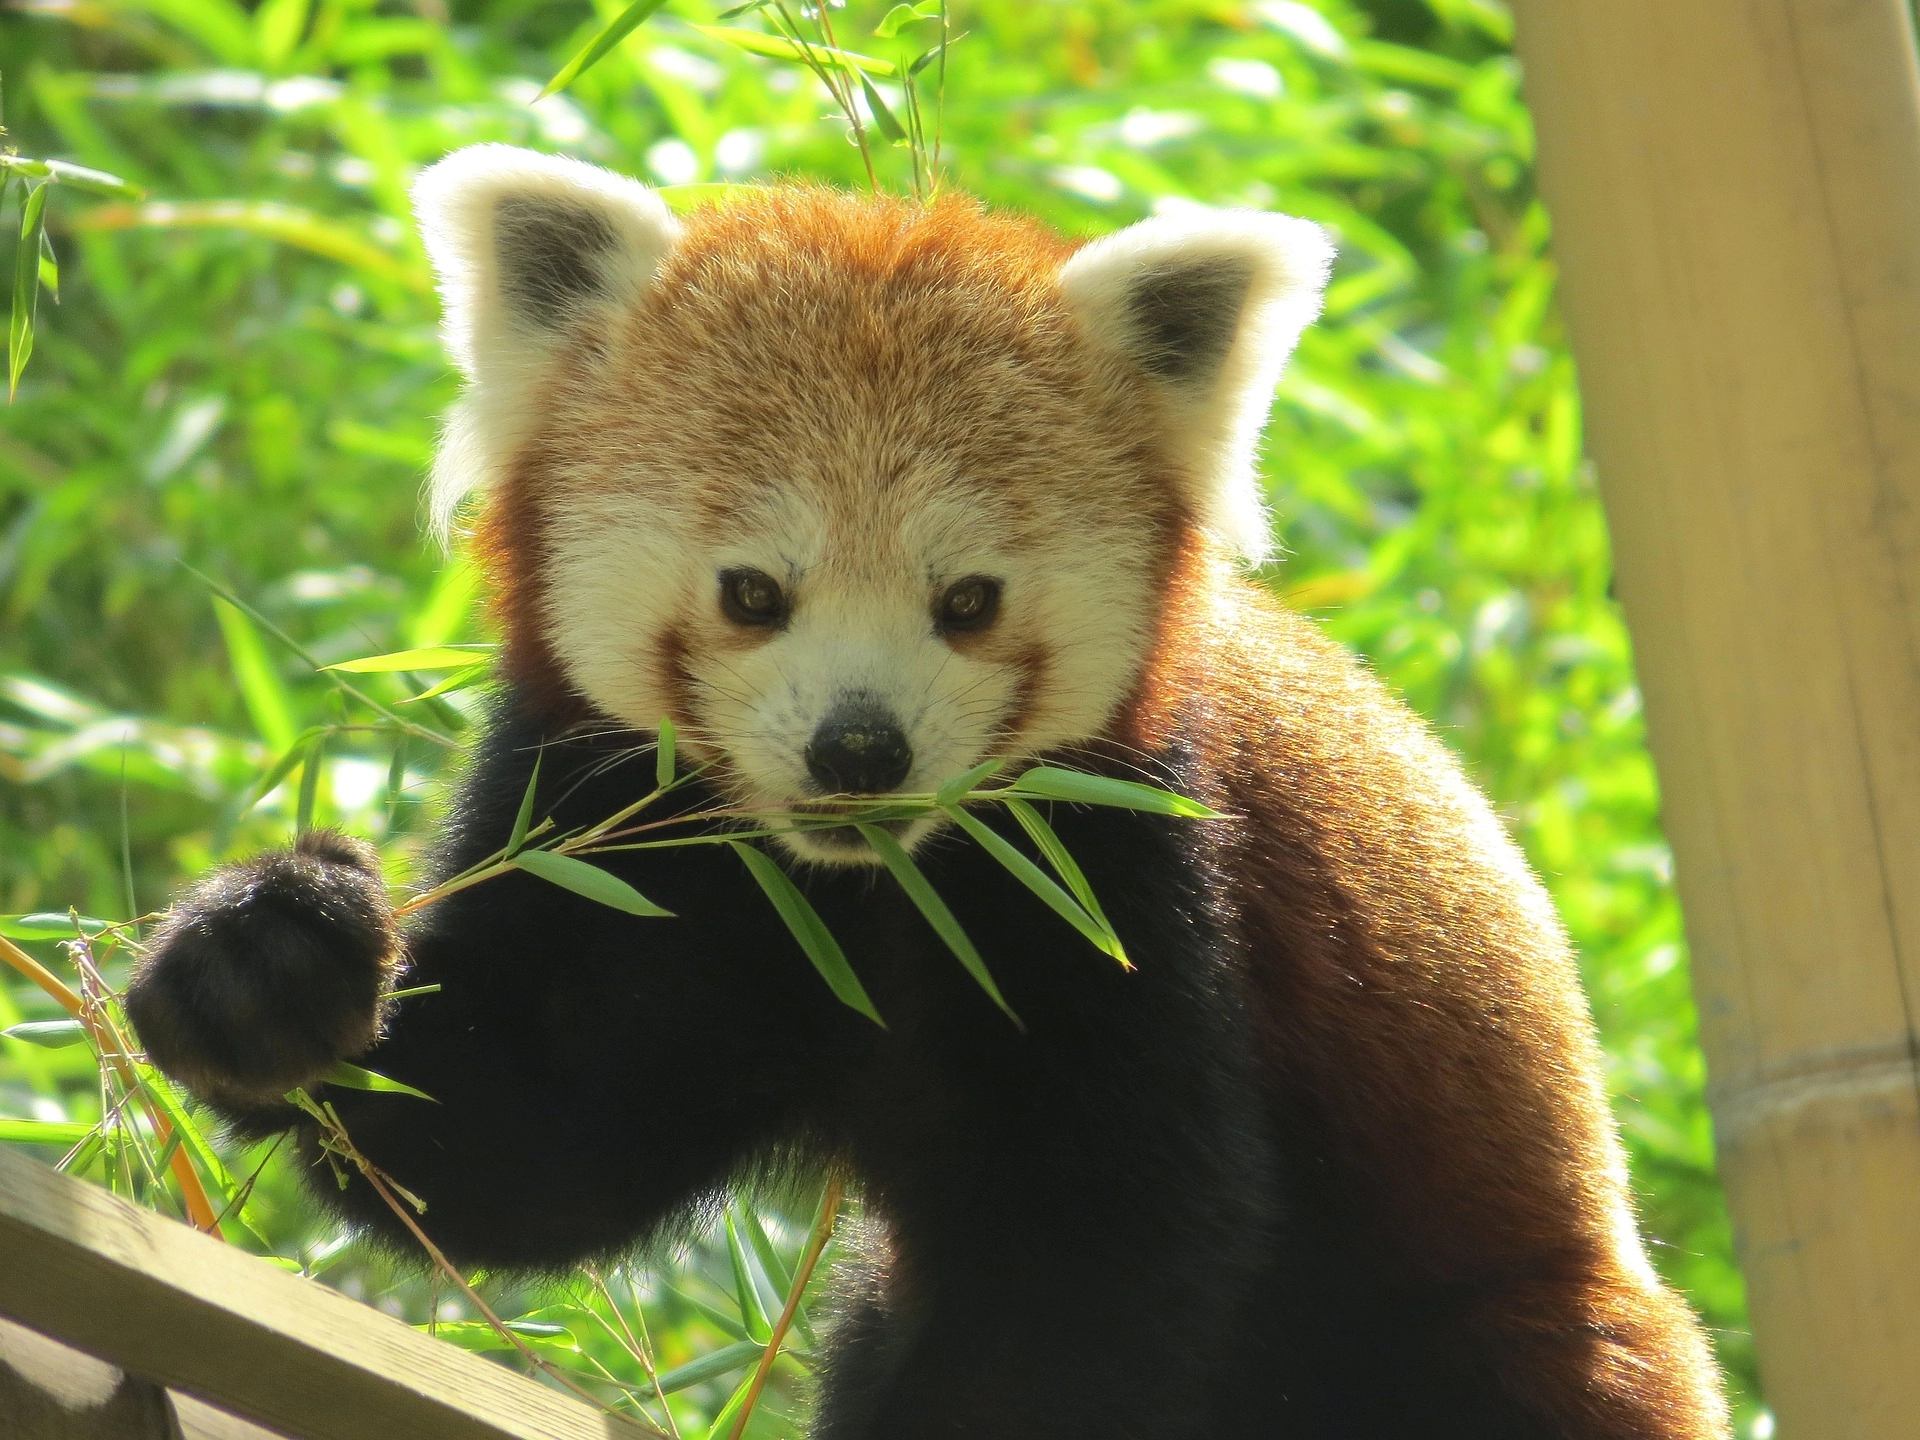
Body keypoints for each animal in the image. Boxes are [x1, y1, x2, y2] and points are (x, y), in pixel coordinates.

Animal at [127, 149, 1735, 1440]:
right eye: (753, 592)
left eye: (966, 602)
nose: (861, 750)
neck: (863, 893)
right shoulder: (628, 830)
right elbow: (530, 1142)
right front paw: (266, 963)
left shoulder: (1123, 875)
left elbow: (1101, 1251)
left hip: (1508, 1327)